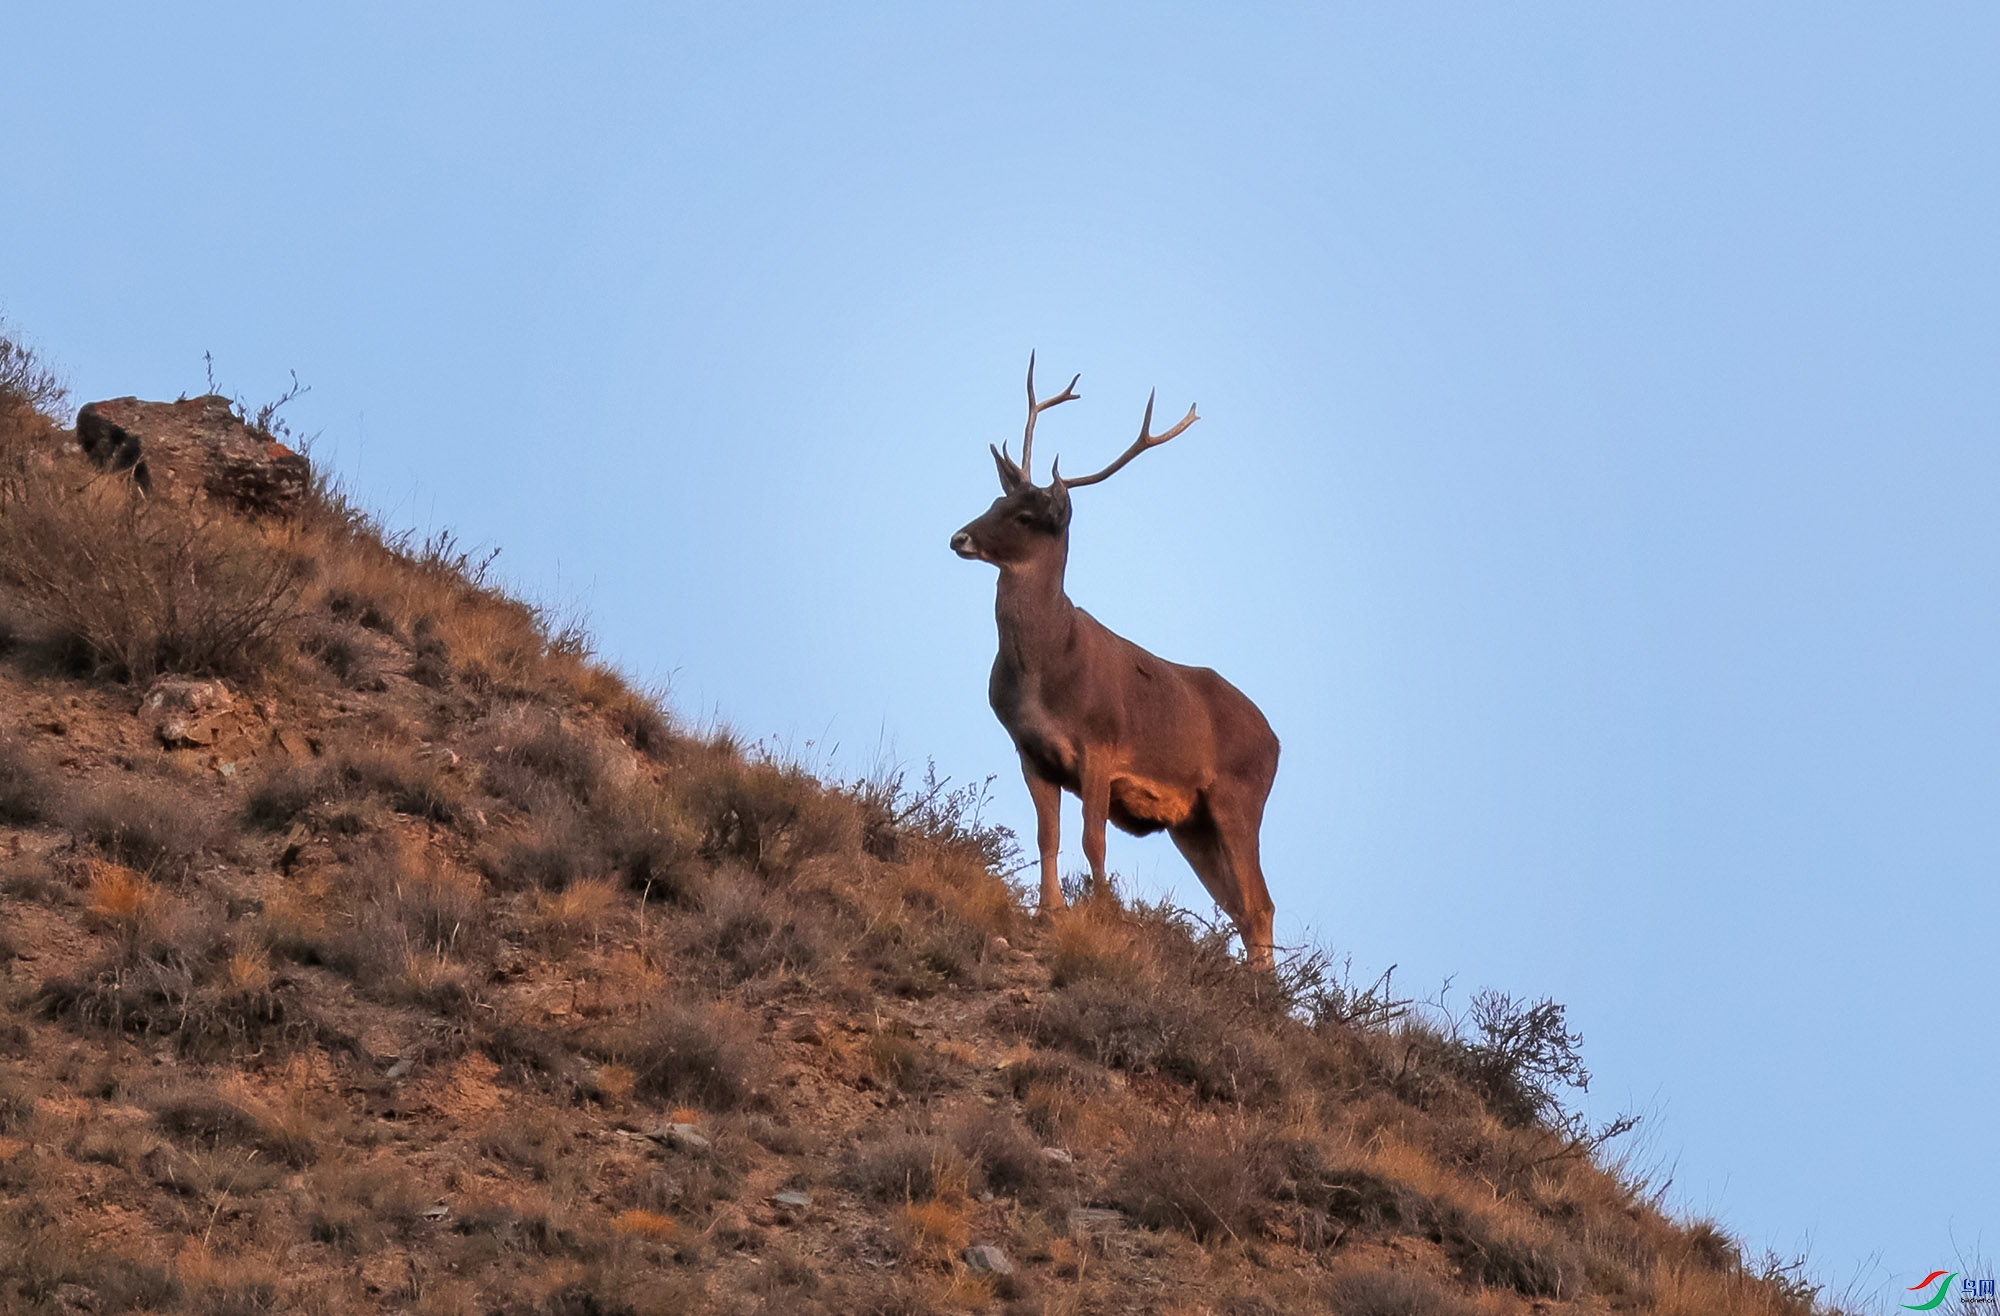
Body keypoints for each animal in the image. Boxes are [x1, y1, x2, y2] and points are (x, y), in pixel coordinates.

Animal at [952, 356, 1280, 964]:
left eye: (1027, 516)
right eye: (996, 501)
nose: (958, 537)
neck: (1046, 671)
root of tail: (1277, 741)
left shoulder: (1100, 744)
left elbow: (1093, 839)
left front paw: (1102, 913)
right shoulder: (1030, 750)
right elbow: (1049, 835)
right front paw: (1050, 911)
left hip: (1240, 796)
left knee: (1260, 903)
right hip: (1193, 825)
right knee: (1242, 908)